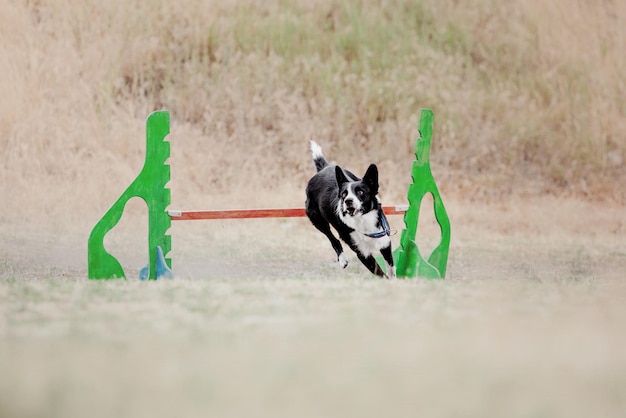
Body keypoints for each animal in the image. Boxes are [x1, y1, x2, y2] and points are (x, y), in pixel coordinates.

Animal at [304, 140, 394, 278]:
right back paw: (342, 259)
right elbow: (380, 273)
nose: (348, 201)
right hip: (317, 219)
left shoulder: (384, 242)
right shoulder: (362, 253)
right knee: (333, 239)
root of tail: (323, 169)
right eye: (343, 194)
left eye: (361, 192)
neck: (362, 221)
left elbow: (391, 268)